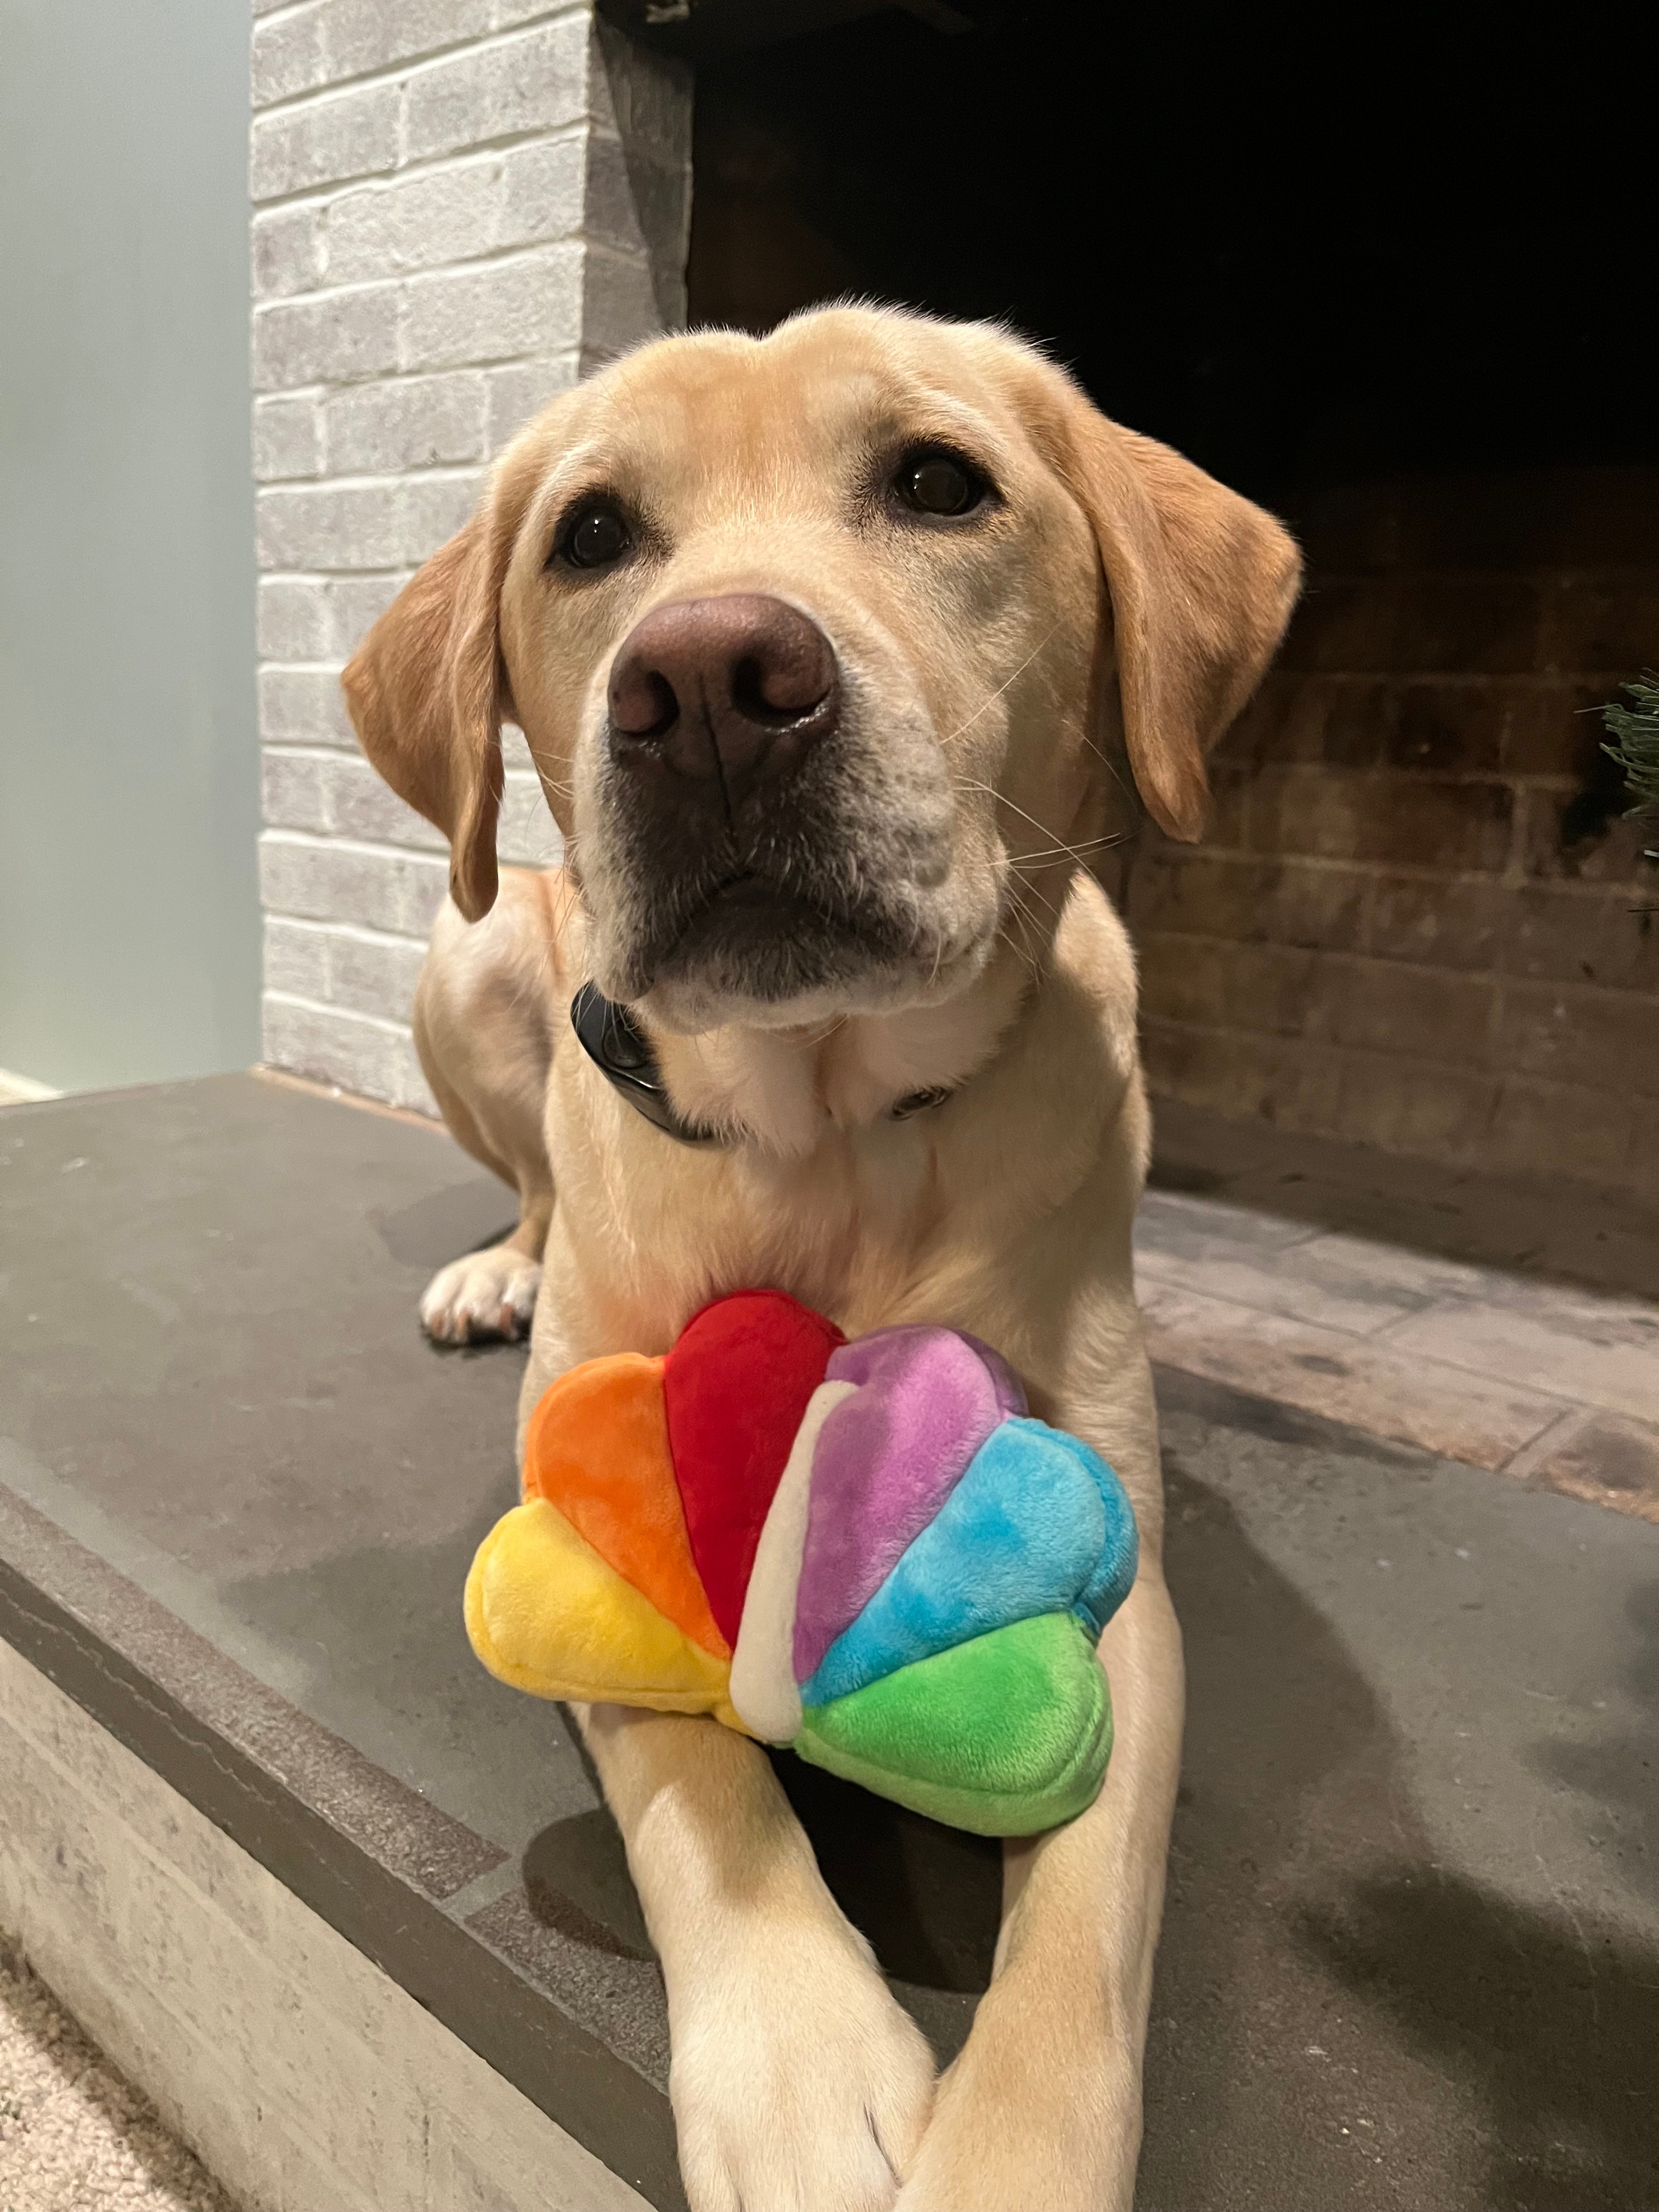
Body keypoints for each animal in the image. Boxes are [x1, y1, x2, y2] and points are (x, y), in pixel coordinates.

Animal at [345, 307, 1309, 2212]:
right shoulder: (591, 1523)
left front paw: (1007, 2162)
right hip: (465, 941)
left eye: (939, 482)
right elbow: (696, 1787)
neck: (829, 1133)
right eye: (590, 533)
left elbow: (1085, 1913)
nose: (709, 684)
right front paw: (805, 2070)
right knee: (528, 1168)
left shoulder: (1121, 1580)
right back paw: (497, 1265)